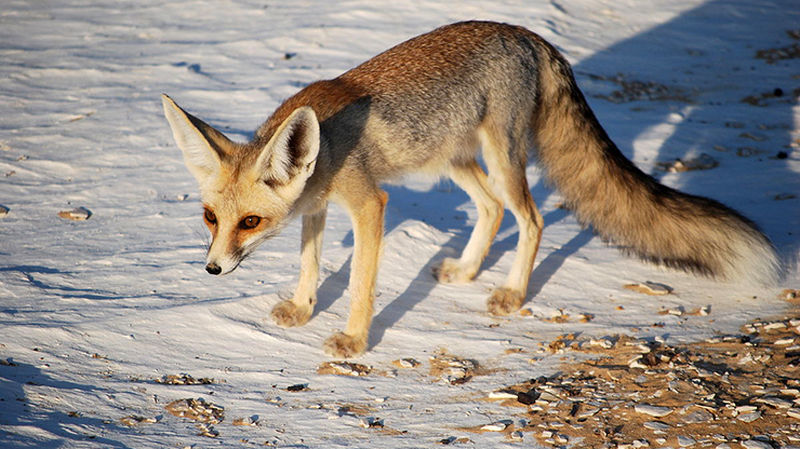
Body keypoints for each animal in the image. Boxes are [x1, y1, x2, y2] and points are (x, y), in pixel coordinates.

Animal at [159, 20, 780, 356]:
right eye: (211, 218)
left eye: (250, 222)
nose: (212, 269)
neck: (327, 147)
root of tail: (528, 33)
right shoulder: (317, 207)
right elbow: (311, 264)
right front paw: (303, 308)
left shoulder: (368, 202)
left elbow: (359, 285)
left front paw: (354, 342)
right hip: (455, 160)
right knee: (493, 210)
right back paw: (468, 269)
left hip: (501, 156)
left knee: (531, 218)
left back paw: (511, 292)